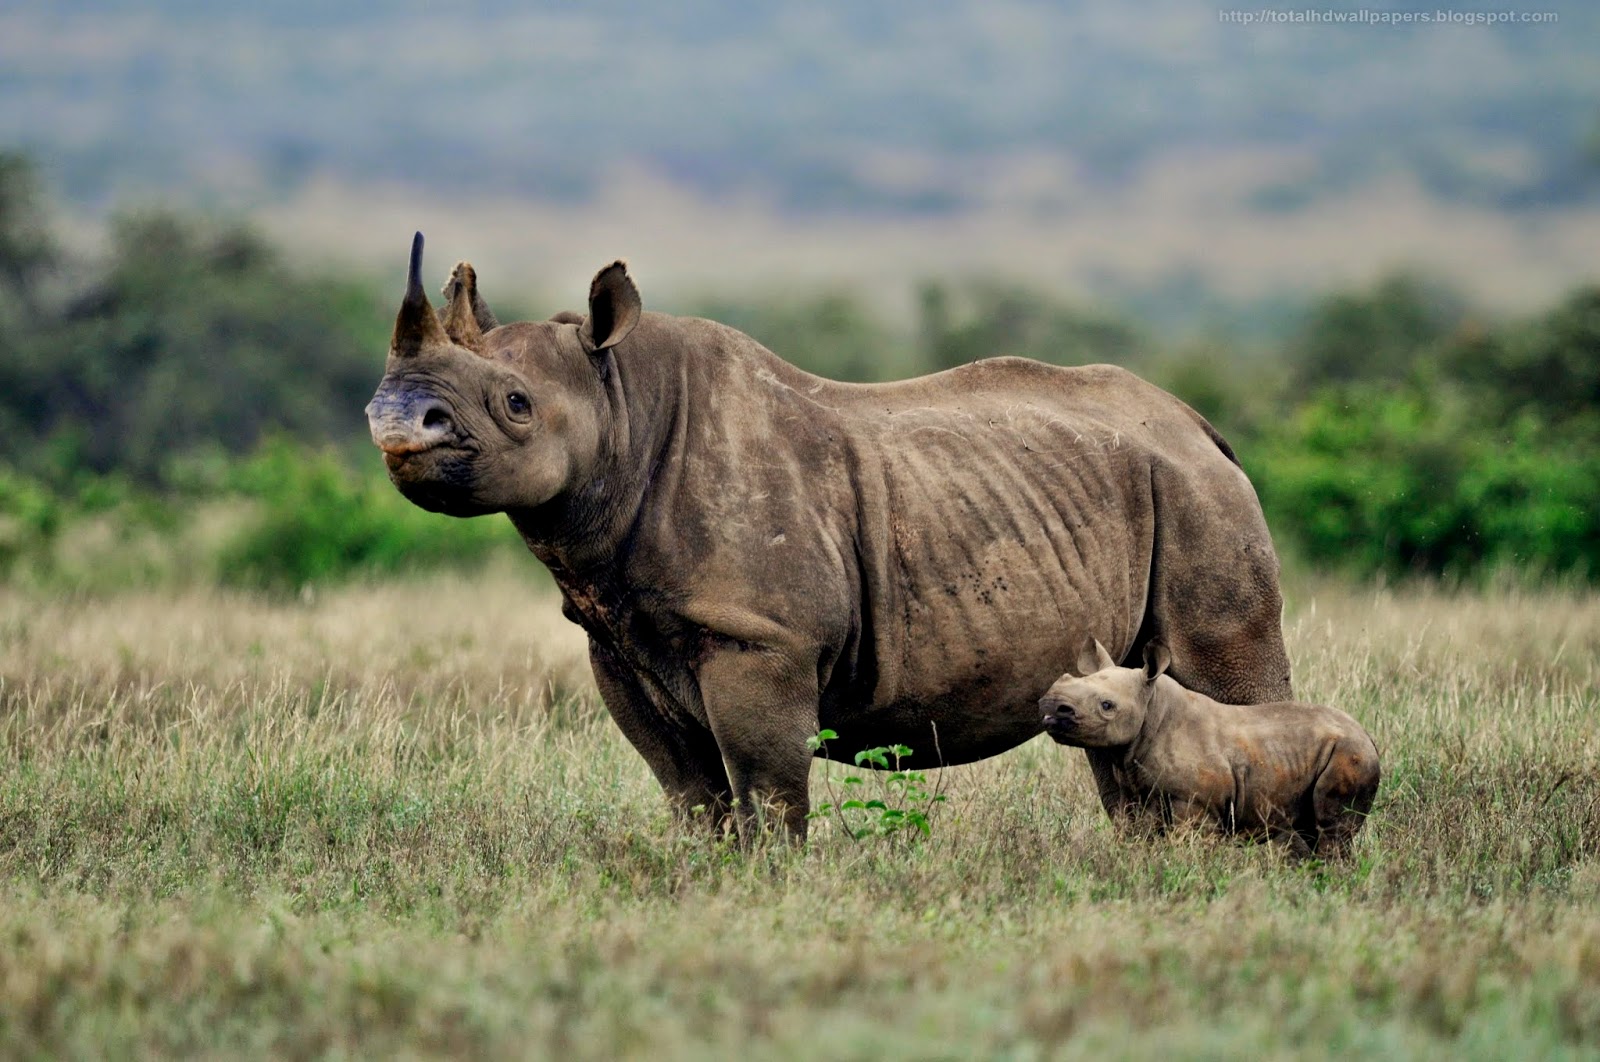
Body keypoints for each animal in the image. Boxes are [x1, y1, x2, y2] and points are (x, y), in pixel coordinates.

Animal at [365, 233, 1294, 838]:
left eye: (516, 405)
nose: (394, 419)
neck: (622, 403)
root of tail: (1199, 427)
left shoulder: (762, 641)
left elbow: (767, 791)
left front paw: (765, 893)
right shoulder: (617, 640)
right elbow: (689, 793)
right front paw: (702, 884)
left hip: (1200, 500)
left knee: (1226, 677)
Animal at [1039, 639, 1379, 858]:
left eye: (1107, 705)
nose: (1051, 706)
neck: (1153, 708)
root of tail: (1369, 737)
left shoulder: (1197, 802)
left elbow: (1189, 843)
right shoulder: (1140, 790)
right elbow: (1141, 834)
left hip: (1350, 753)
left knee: (1331, 830)